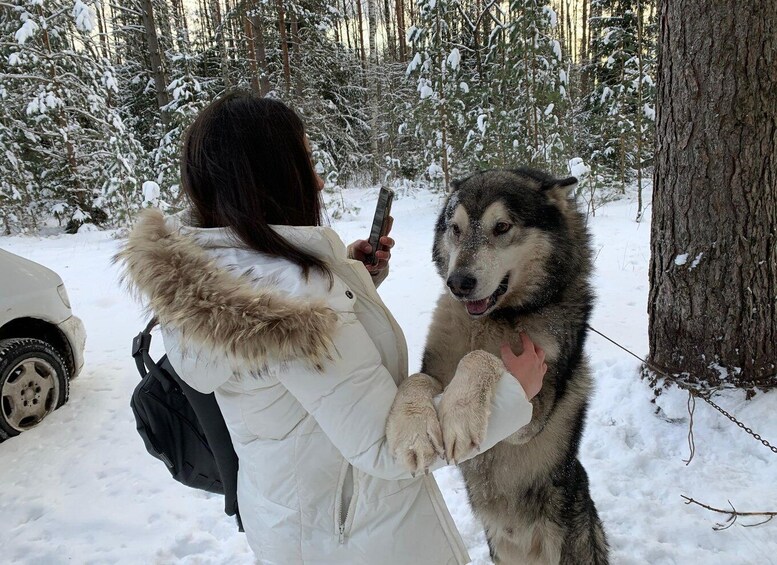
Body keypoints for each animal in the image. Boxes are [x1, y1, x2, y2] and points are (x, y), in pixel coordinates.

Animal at [386, 169, 608, 564]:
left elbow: (482, 358)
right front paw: (411, 431)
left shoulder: (533, 415)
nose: (458, 283)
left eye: (502, 226)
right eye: (455, 229)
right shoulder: (434, 372)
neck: (495, 319)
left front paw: (460, 415)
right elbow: (416, 380)